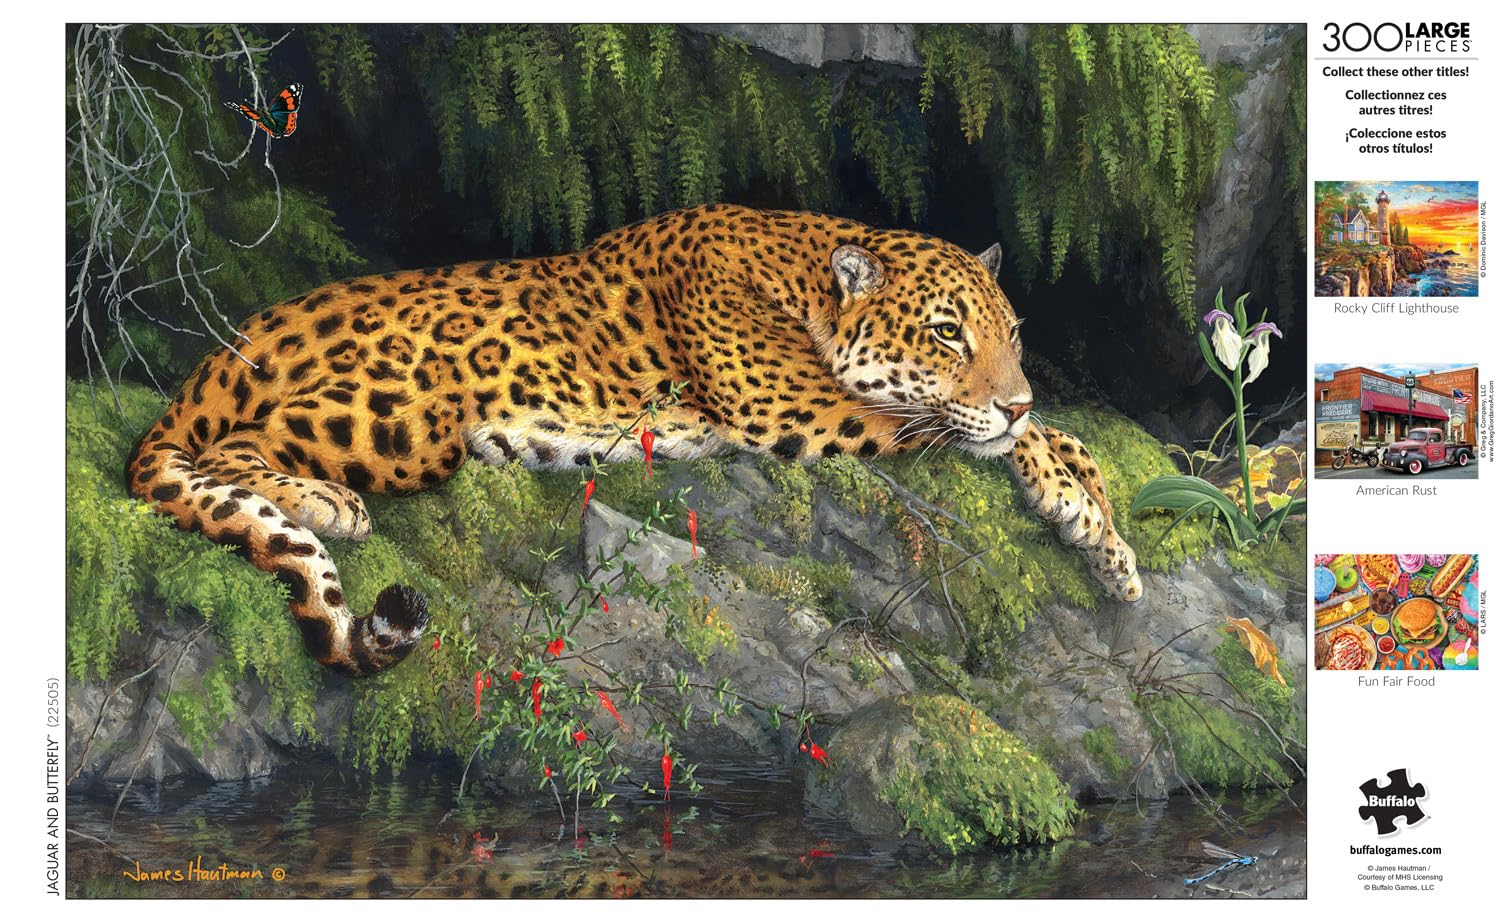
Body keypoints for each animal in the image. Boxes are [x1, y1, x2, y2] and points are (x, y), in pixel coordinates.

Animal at [126, 204, 1142, 676]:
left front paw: (1105, 532)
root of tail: (224, 351)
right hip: (409, 410)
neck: (805, 272)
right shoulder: (797, 405)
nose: (1015, 394)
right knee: (234, 447)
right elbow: (959, 427)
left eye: (1013, 334)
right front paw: (1068, 494)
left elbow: (1057, 438)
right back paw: (326, 502)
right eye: (946, 334)